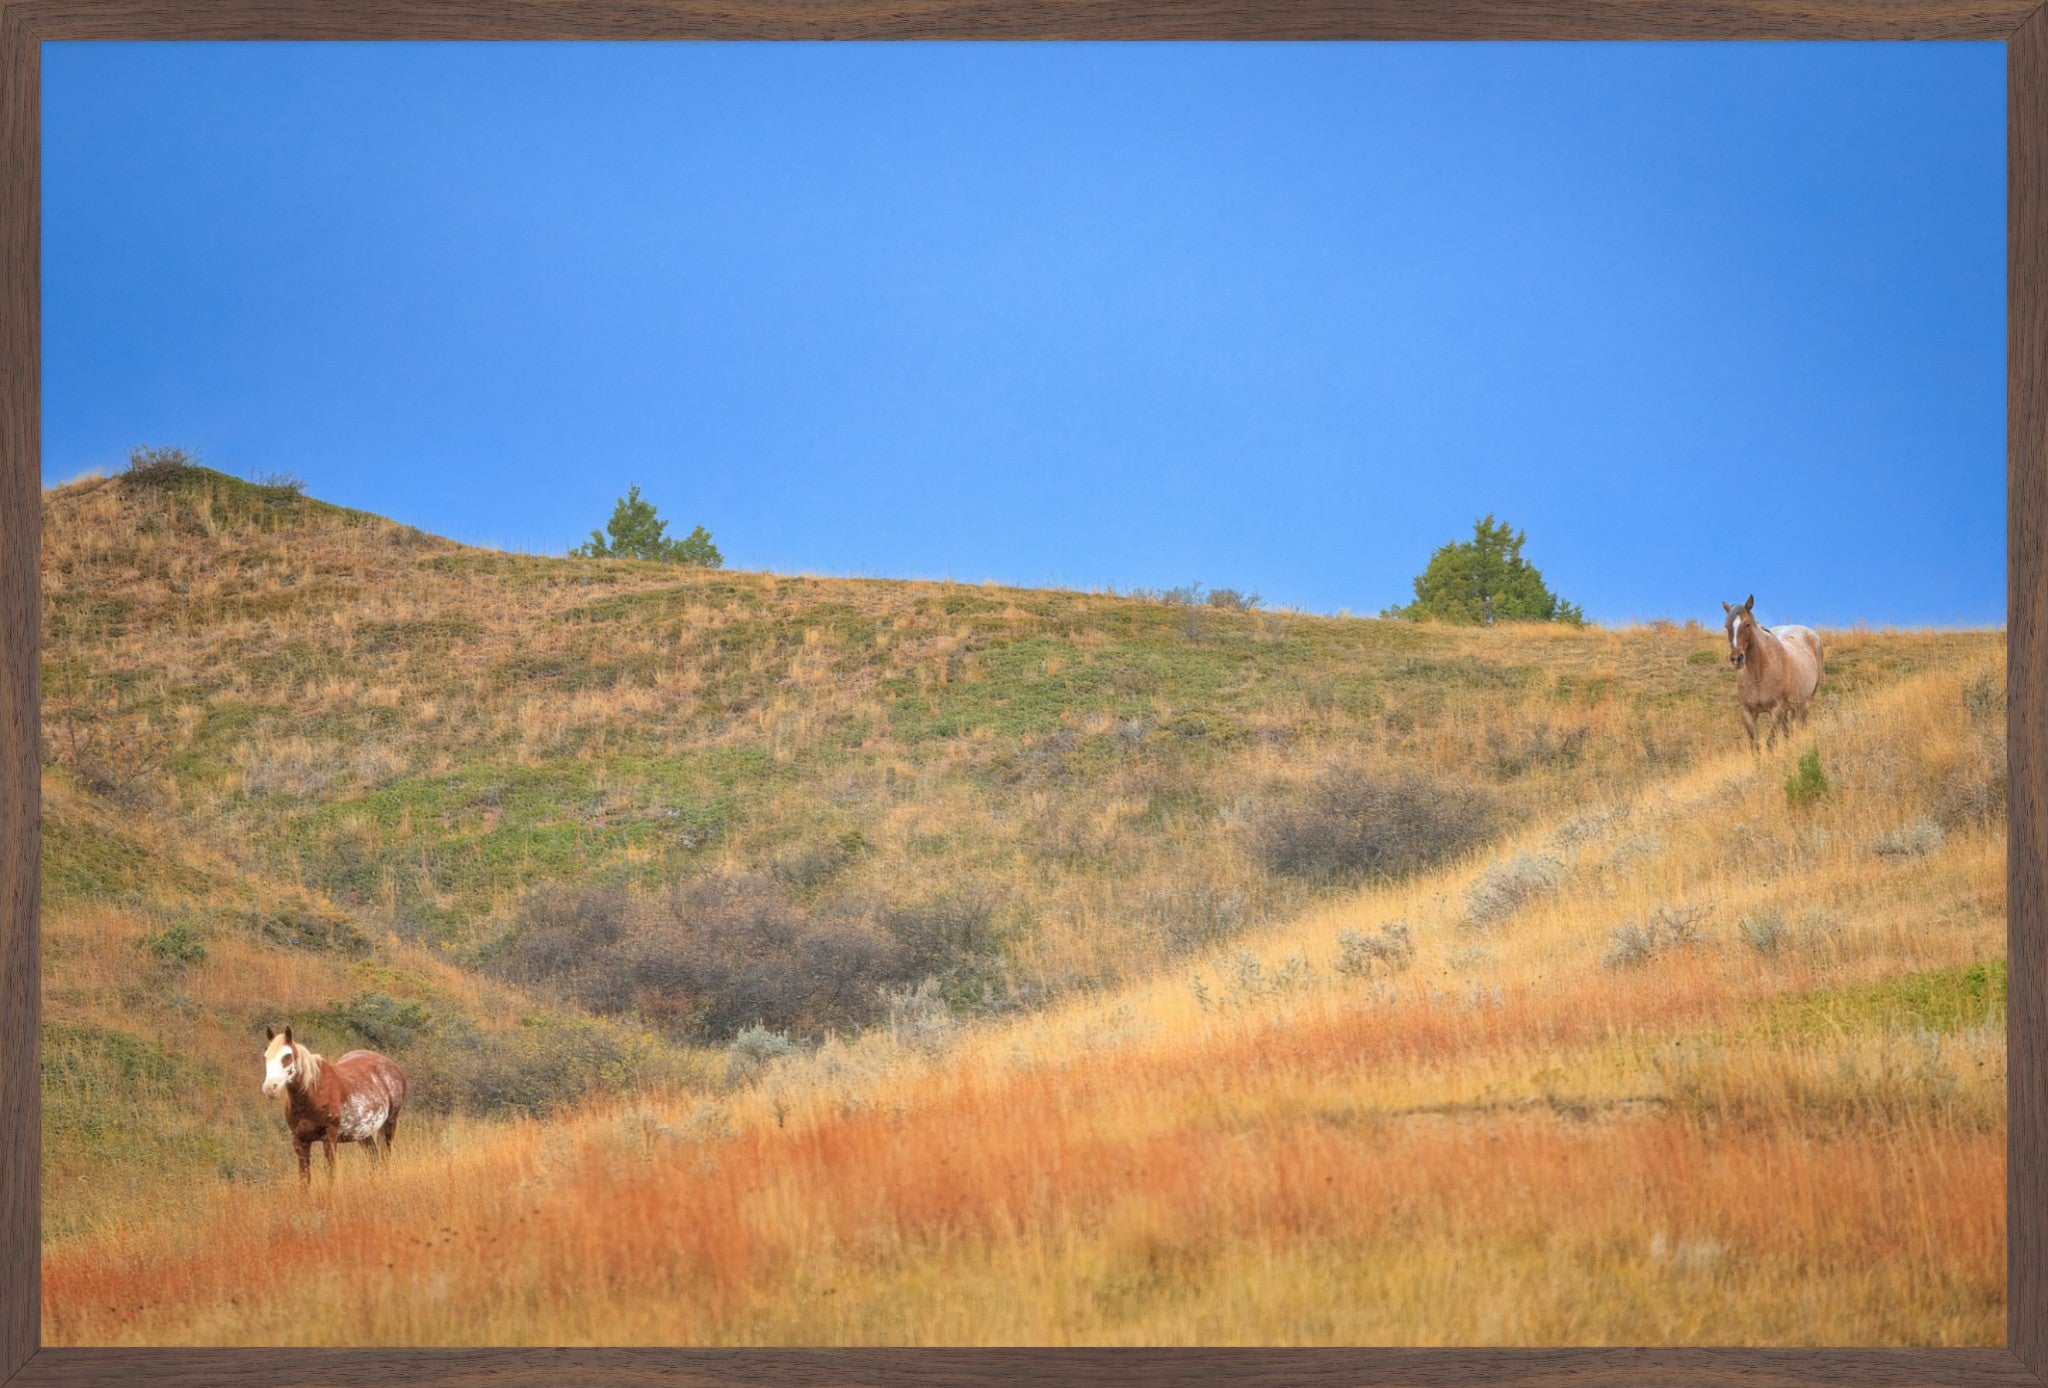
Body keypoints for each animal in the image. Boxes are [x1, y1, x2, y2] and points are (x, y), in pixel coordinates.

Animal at [261, 1025, 408, 1184]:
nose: (270, 1088)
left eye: (287, 1056)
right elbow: (305, 1180)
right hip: (363, 1132)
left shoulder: (329, 1140)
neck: (314, 1094)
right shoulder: (300, 1142)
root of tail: (393, 1066)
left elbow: (331, 1177)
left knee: (384, 1159)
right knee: (374, 1159)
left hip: (389, 1123)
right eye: (266, 1056)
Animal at [1721, 595, 1824, 753]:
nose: (1737, 659)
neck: (1758, 675)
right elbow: (1755, 745)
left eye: (1747, 624)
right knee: (1788, 732)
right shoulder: (1747, 712)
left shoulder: (1776, 710)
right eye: (1726, 626)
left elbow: (1770, 742)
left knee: (1802, 726)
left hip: (1804, 704)